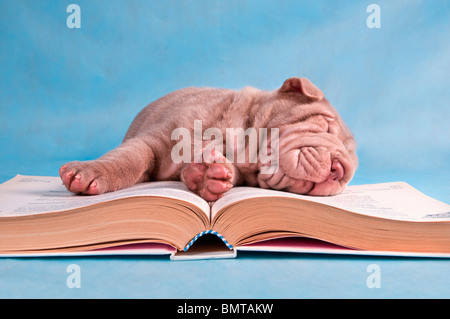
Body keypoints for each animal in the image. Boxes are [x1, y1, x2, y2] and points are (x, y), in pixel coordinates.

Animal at [59, 78, 358, 201]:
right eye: (326, 125)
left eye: (349, 177)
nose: (341, 172)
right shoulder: (156, 138)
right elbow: (130, 157)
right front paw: (90, 171)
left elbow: (227, 172)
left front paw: (205, 176)